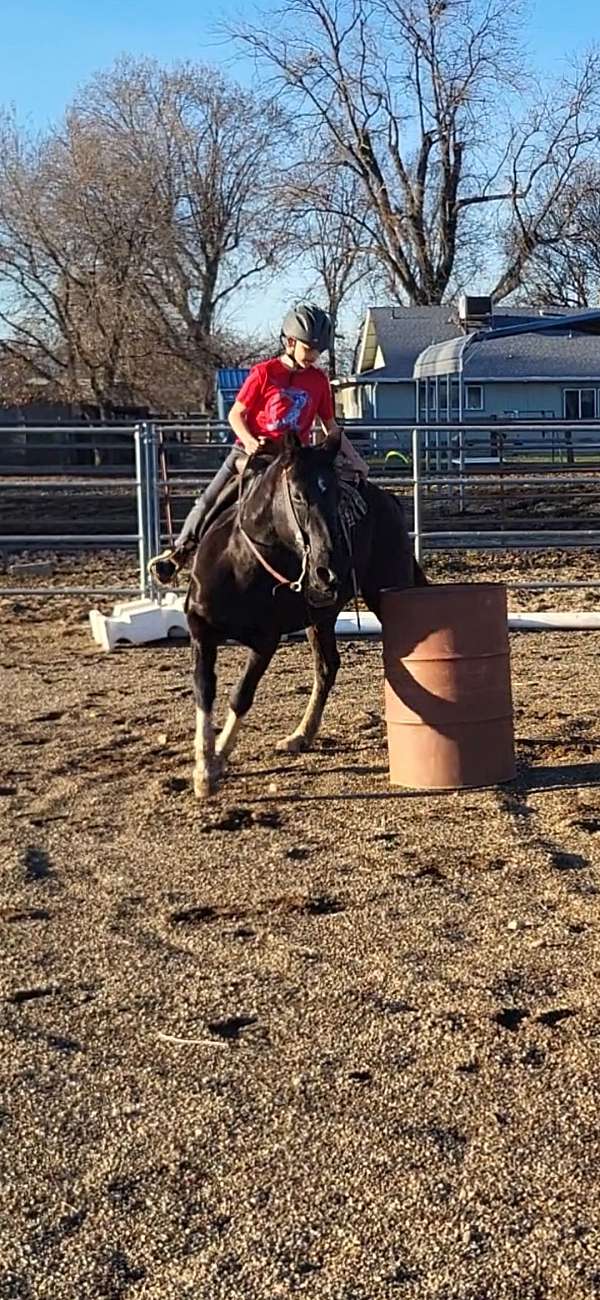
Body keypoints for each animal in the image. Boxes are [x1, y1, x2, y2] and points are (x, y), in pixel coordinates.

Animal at [185, 434, 423, 790]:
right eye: (297, 495)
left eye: (336, 496)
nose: (329, 571)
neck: (239, 563)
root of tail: (390, 501)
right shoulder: (200, 628)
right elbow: (204, 689)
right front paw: (204, 766)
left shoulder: (266, 640)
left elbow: (241, 694)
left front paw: (218, 759)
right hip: (320, 617)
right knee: (327, 667)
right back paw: (301, 735)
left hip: (387, 592)